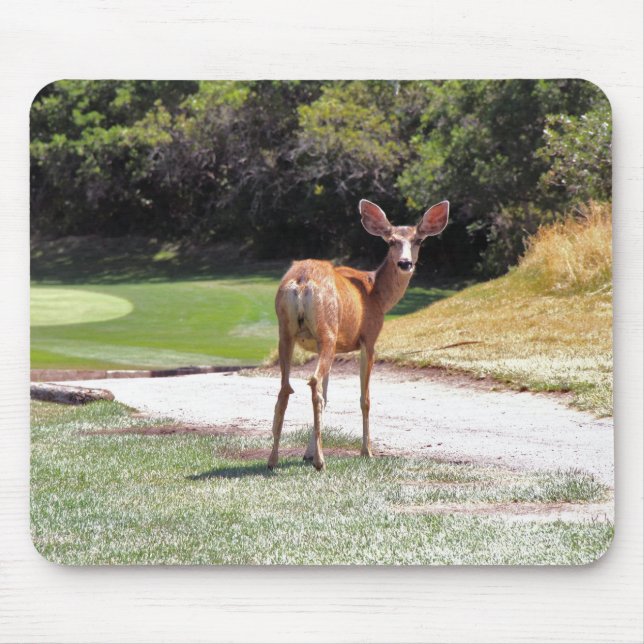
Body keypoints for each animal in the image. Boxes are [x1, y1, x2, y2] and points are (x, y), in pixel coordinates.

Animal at [267, 199, 449, 471]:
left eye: (418, 240)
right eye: (391, 241)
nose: (405, 264)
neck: (377, 294)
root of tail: (301, 282)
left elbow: (329, 396)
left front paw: (307, 453)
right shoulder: (369, 338)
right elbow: (365, 398)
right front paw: (367, 451)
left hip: (286, 332)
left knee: (285, 388)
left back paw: (273, 459)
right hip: (327, 330)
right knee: (313, 382)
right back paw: (320, 462)